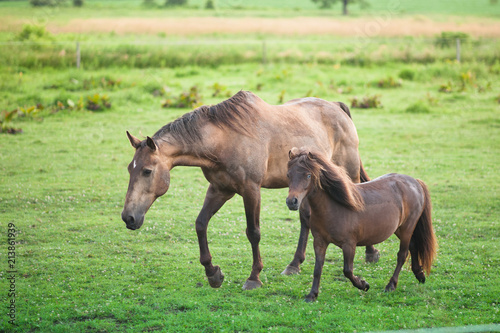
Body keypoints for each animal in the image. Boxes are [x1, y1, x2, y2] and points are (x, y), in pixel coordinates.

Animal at [122, 89, 378, 290]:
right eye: (129, 169)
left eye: (147, 171)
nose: (128, 217)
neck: (224, 140)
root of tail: (337, 107)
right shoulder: (220, 189)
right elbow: (201, 224)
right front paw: (213, 273)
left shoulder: (251, 189)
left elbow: (253, 232)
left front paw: (254, 277)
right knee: (306, 219)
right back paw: (294, 264)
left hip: (347, 171)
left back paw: (370, 252)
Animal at [286, 148, 438, 300]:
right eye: (288, 175)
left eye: (308, 175)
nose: (291, 202)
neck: (334, 207)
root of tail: (415, 182)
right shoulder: (319, 242)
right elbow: (318, 269)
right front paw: (312, 295)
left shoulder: (349, 244)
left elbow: (347, 270)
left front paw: (364, 285)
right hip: (399, 229)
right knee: (413, 246)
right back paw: (419, 275)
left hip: (407, 228)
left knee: (402, 254)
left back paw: (391, 285)